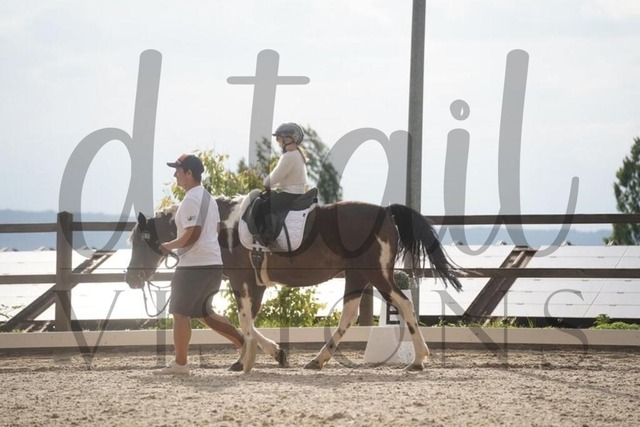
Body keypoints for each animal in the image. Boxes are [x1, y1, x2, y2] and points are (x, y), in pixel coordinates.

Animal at [125, 195, 463, 373]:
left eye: (139, 242)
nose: (130, 278)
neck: (220, 226)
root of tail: (384, 212)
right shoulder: (255, 284)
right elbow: (246, 322)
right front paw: (261, 355)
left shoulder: (241, 279)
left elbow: (245, 321)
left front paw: (255, 358)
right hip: (356, 275)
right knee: (349, 315)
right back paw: (317, 360)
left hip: (376, 274)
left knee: (404, 304)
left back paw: (418, 360)